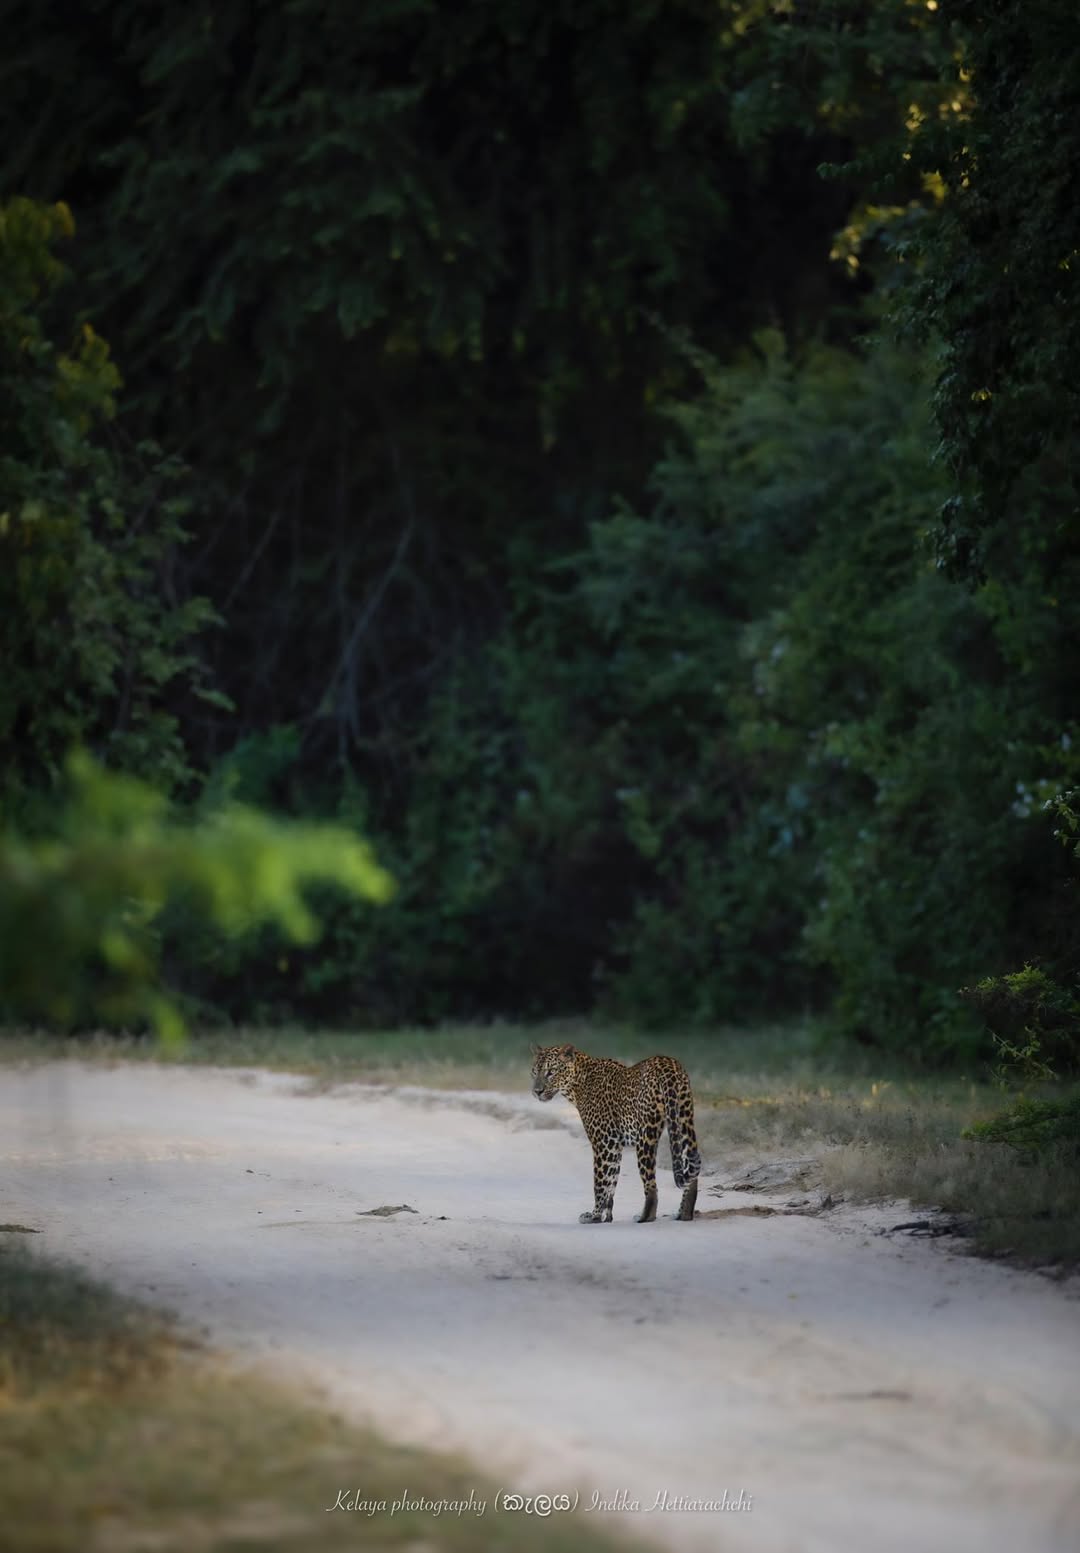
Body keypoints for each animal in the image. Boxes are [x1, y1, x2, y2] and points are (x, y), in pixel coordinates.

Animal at [531, 1042, 701, 1223]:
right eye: (534, 1072)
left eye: (551, 1072)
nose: (537, 1091)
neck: (576, 1086)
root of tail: (668, 1063)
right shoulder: (614, 1145)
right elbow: (611, 1180)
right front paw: (606, 1216)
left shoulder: (603, 1142)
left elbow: (600, 1182)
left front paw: (594, 1216)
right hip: (685, 1119)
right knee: (692, 1170)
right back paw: (684, 1214)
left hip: (646, 1135)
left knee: (651, 1185)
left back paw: (644, 1217)